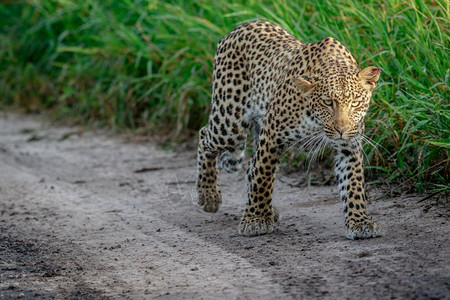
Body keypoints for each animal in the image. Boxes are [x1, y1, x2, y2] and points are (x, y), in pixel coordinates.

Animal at [196, 19, 384, 240]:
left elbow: (353, 183)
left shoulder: (349, 146)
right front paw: (256, 220)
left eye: (355, 103)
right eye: (328, 103)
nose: (341, 129)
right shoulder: (271, 134)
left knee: (250, 166)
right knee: (205, 137)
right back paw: (209, 195)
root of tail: (241, 25)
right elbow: (263, 176)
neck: (316, 121)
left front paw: (359, 222)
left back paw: (268, 209)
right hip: (229, 121)